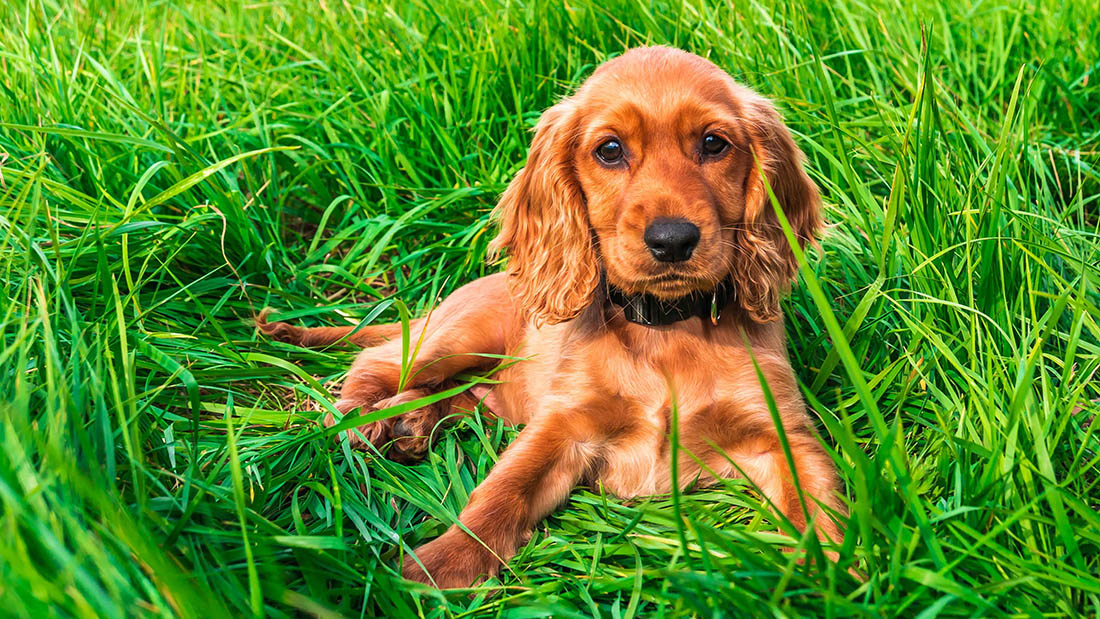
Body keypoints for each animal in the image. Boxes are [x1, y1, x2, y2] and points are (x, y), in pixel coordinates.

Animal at [257, 45, 840, 589]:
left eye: (714, 143)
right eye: (610, 150)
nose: (672, 240)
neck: (666, 327)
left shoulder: (781, 433)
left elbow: (821, 507)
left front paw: (832, 575)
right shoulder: (562, 425)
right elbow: (502, 492)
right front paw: (439, 567)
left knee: (458, 397)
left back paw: (408, 424)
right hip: (457, 337)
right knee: (380, 362)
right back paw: (358, 418)